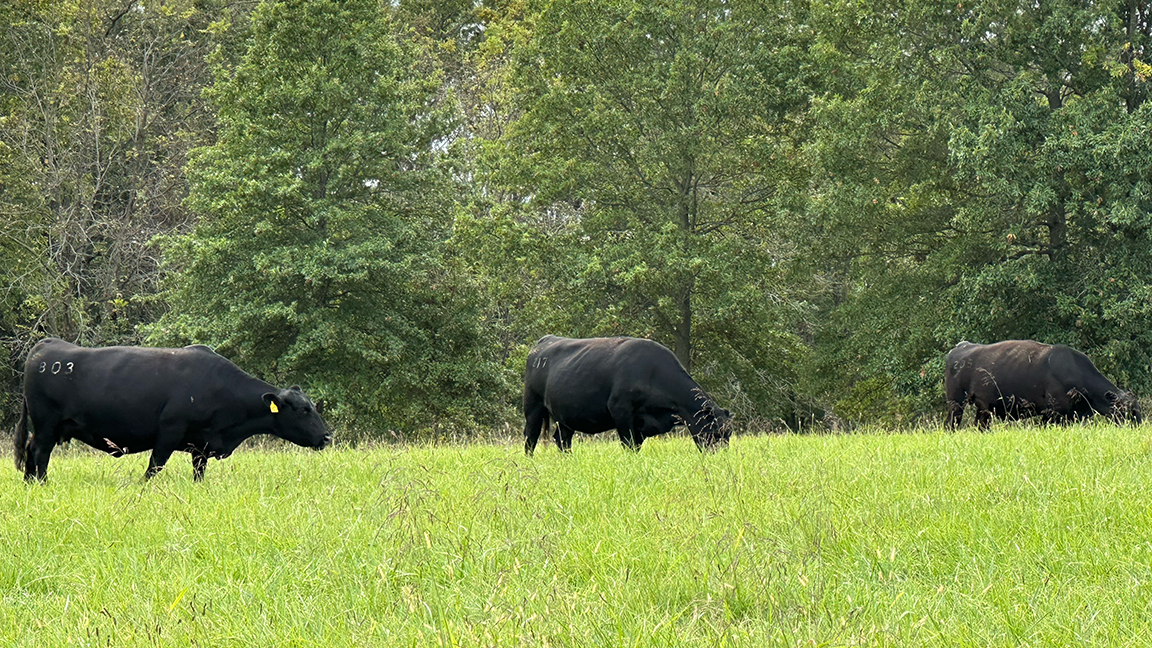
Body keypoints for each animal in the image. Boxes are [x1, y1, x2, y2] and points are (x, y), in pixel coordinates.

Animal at [14, 338, 331, 482]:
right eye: (303, 409)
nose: (328, 436)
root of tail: (47, 344)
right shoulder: (168, 432)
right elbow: (154, 467)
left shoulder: (201, 445)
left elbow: (198, 473)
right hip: (46, 425)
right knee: (40, 452)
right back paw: (41, 483)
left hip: (47, 428)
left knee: (31, 450)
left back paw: (30, 483)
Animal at [522, 335, 732, 454]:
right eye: (716, 432)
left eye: (728, 433)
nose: (721, 457)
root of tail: (545, 340)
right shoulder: (621, 410)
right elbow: (629, 444)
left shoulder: (641, 424)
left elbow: (636, 446)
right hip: (533, 406)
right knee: (530, 437)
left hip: (566, 416)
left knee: (562, 439)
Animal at [944, 339, 1142, 430]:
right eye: (1127, 411)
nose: (1138, 426)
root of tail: (962, 345)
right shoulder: (1052, 413)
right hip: (956, 403)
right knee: (950, 424)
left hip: (983, 408)